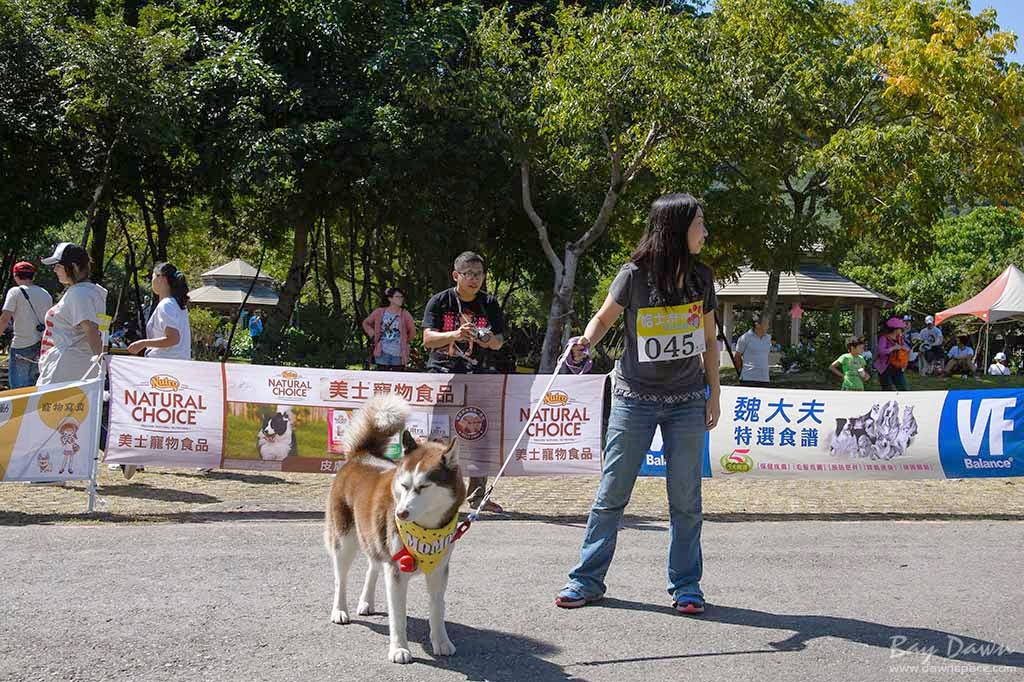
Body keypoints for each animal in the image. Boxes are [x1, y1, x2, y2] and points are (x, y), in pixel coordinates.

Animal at [323, 393, 468, 663]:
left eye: (423, 487)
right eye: (403, 484)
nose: (400, 513)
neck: (427, 529)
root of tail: (361, 454)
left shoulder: (439, 570)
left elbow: (437, 609)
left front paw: (442, 642)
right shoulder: (397, 571)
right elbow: (397, 616)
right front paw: (399, 649)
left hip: (373, 535)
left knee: (373, 565)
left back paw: (366, 602)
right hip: (344, 541)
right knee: (340, 578)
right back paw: (340, 610)